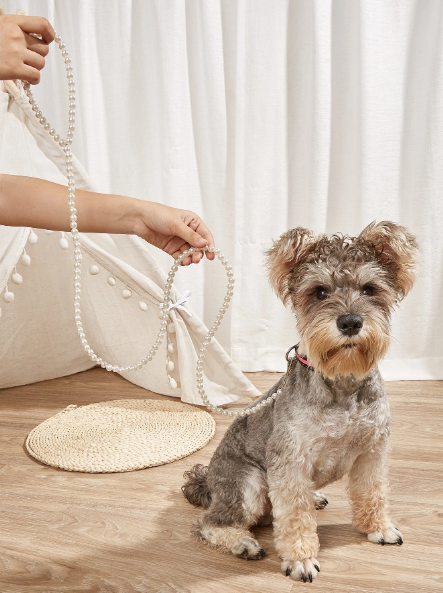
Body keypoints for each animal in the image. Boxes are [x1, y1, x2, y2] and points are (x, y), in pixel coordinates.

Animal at [182, 222, 418, 584]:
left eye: (369, 289)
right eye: (319, 292)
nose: (350, 322)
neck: (341, 383)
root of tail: (208, 482)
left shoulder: (372, 453)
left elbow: (372, 492)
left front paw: (378, 528)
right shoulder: (290, 461)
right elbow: (294, 515)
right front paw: (301, 559)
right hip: (248, 488)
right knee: (212, 522)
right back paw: (242, 543)